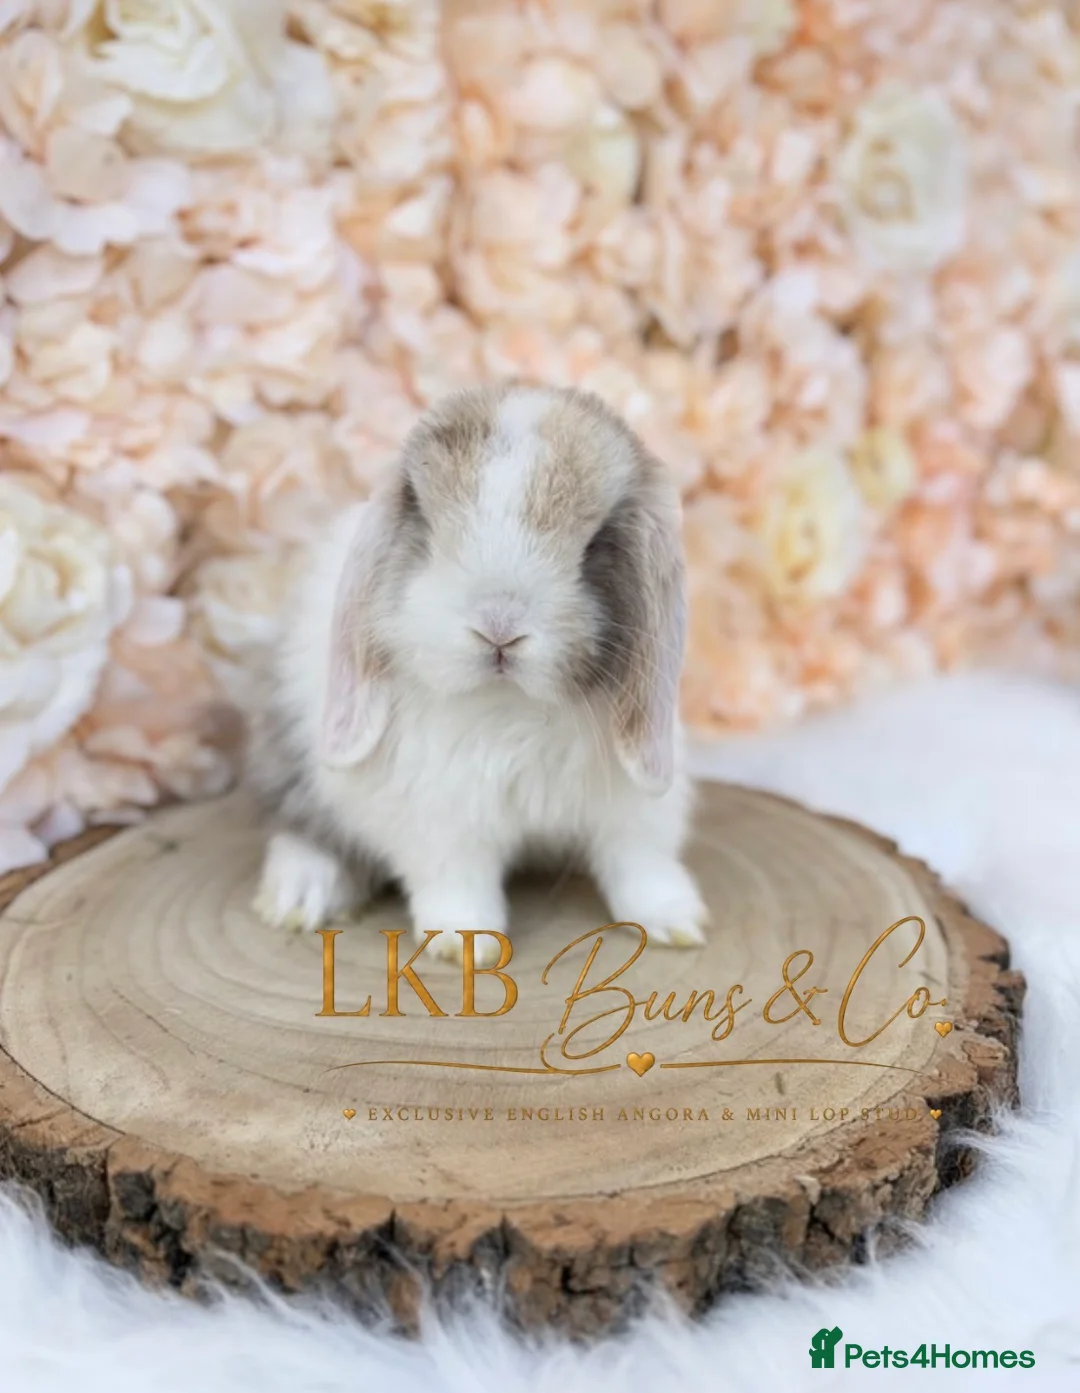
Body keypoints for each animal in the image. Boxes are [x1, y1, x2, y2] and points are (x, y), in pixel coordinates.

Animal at [246, 383, 708, 967]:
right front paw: (465, 947)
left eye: (596, 544)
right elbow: (456, 880)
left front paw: (679, 922)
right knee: (300, 827)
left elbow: (641, 864)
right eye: (427, 527)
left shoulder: (636, 808)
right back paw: (301, 896)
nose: (498, 629)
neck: (510, 707)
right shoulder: (441, 814)